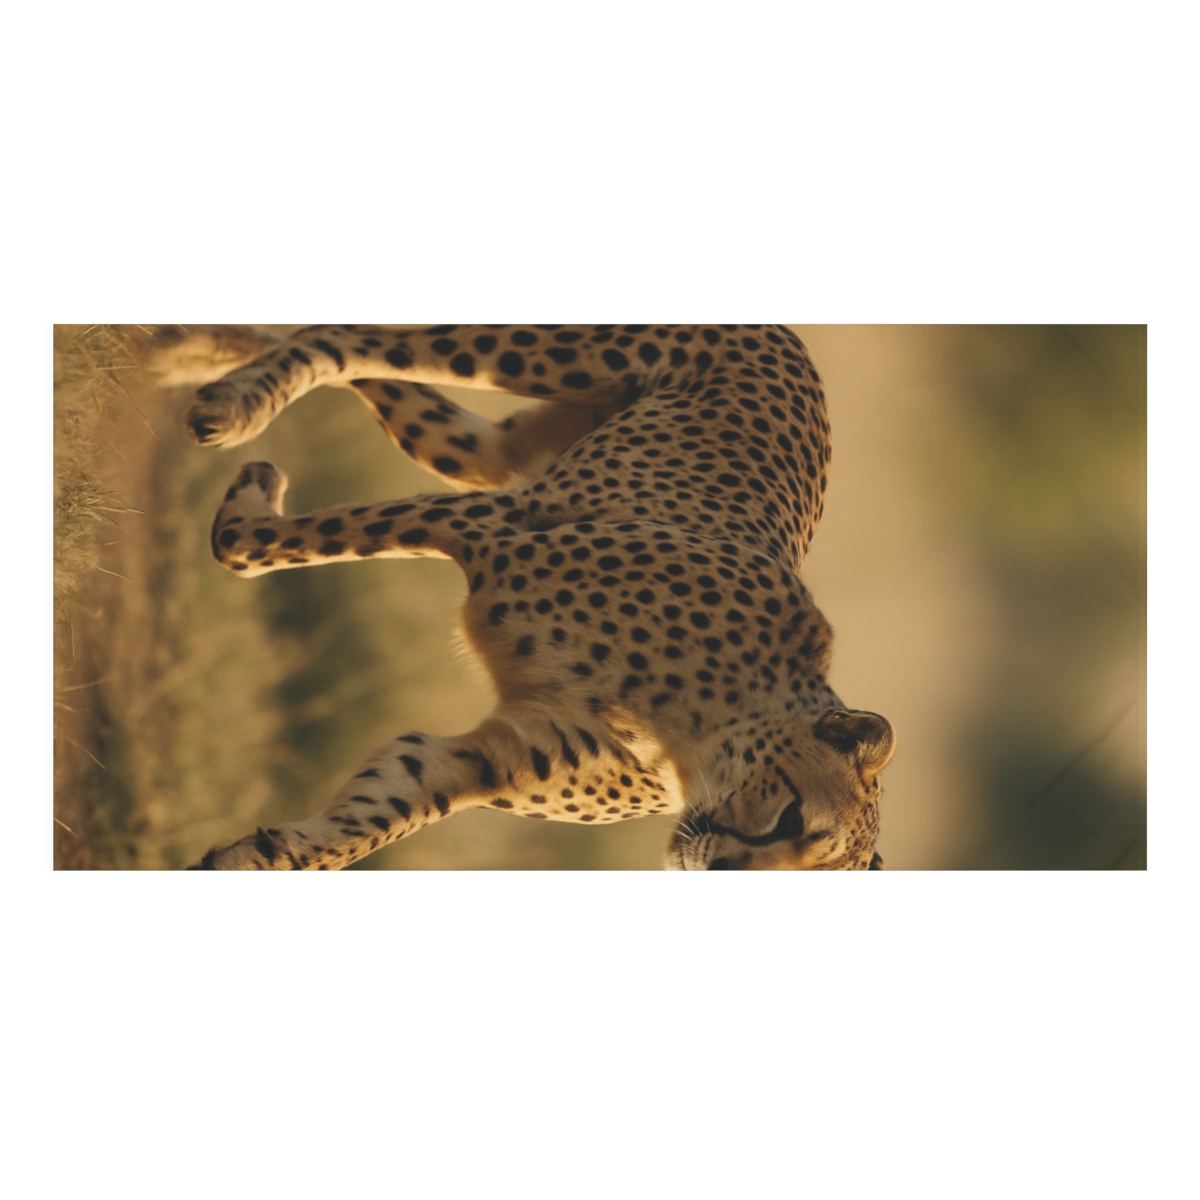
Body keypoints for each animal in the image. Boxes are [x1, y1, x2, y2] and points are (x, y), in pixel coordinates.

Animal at [173, 324, 895, 870]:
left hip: (479, 449)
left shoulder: (472, 759)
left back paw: (204, 355)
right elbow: (255, 547)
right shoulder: (494, 524)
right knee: (352, 333)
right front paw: (245, 512)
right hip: (544, 358)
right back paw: (234, 404)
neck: (693, 739)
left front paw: (251, 859)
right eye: (794, 816)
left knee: (370, 364)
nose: (721, 869)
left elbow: (370, 821)